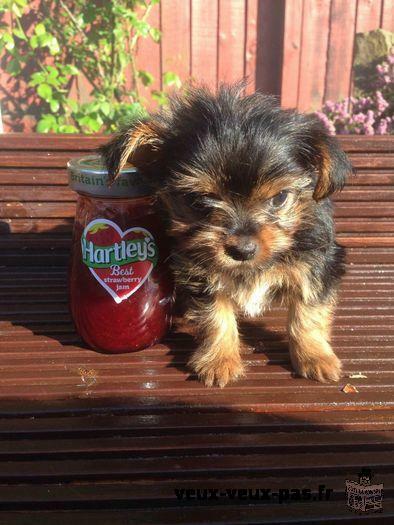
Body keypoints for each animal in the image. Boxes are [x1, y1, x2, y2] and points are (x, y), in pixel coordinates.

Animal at [100, 84, 352, 386]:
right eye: (197, 201)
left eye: (279, 198)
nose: (242, 250)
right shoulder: (199, 272)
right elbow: (215, 315)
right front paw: (219, 360)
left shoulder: (317, 265)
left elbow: (308, 312)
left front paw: (315, 356)